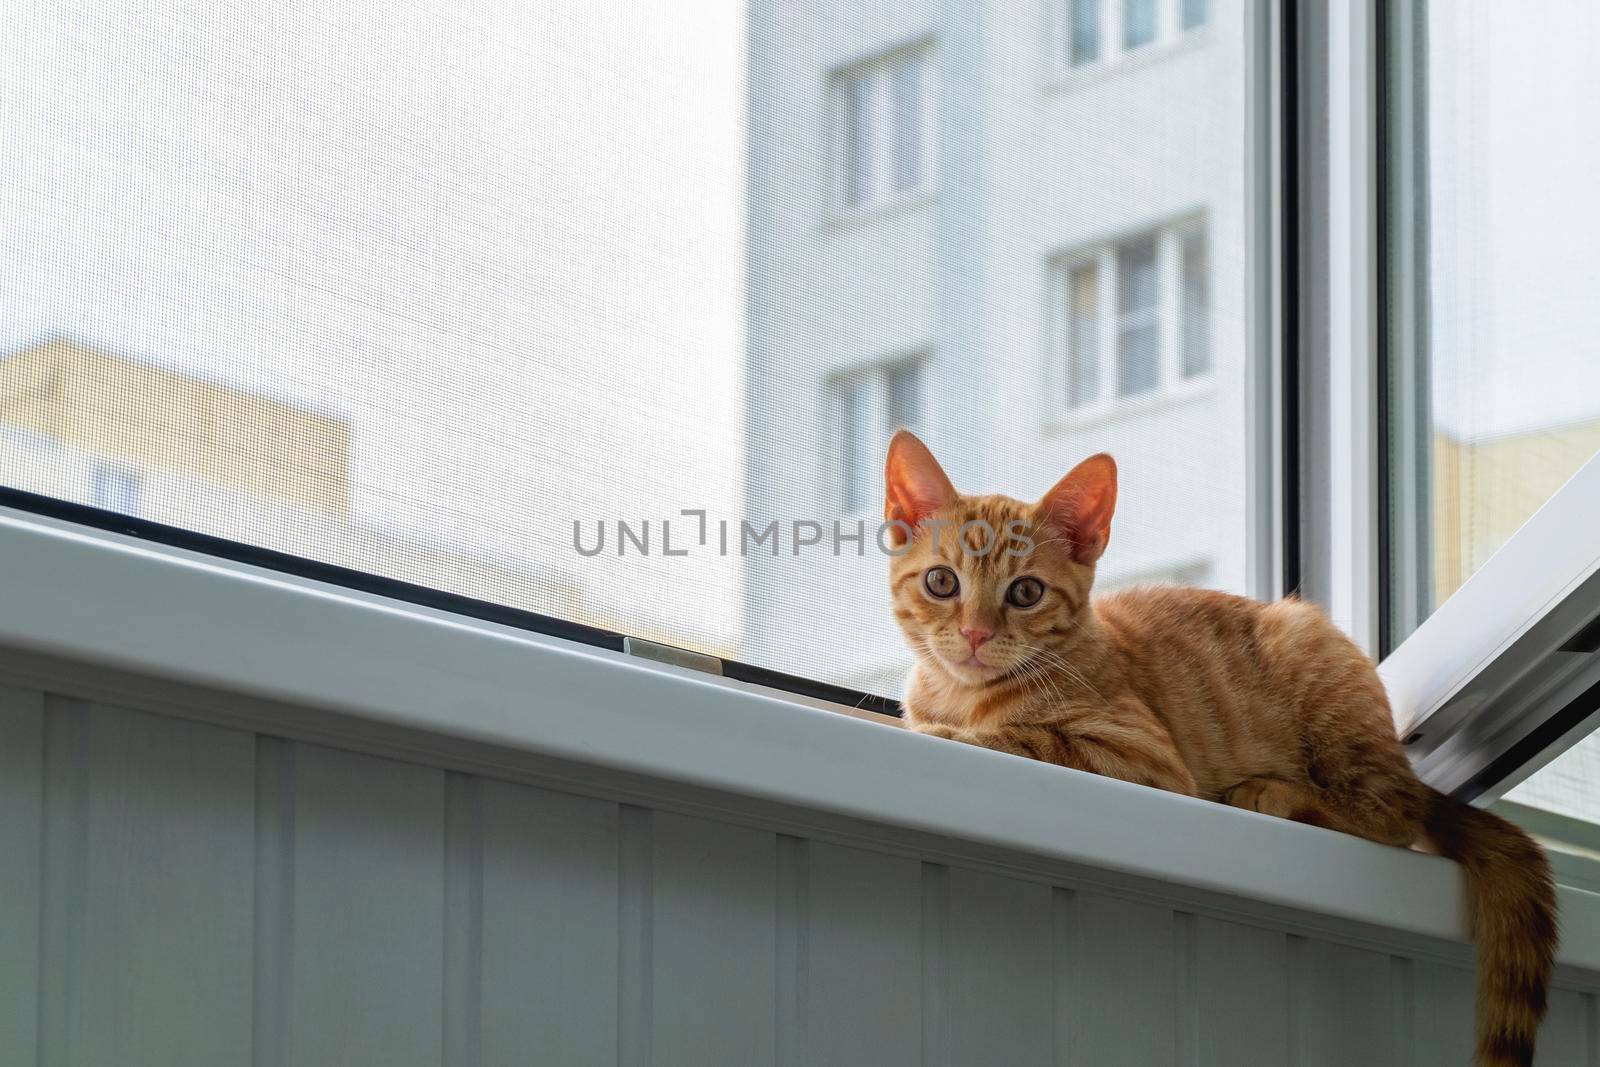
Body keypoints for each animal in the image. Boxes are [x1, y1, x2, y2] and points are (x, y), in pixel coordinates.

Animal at [883, 428, 1555, 1062]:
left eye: (1025, 593)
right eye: (941, 582)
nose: (974, 633)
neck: (962, 692)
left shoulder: (1145, 756)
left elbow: (1029, 735)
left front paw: (951, 733)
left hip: (1324, 684)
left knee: (1392, 815)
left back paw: (1276, 794)